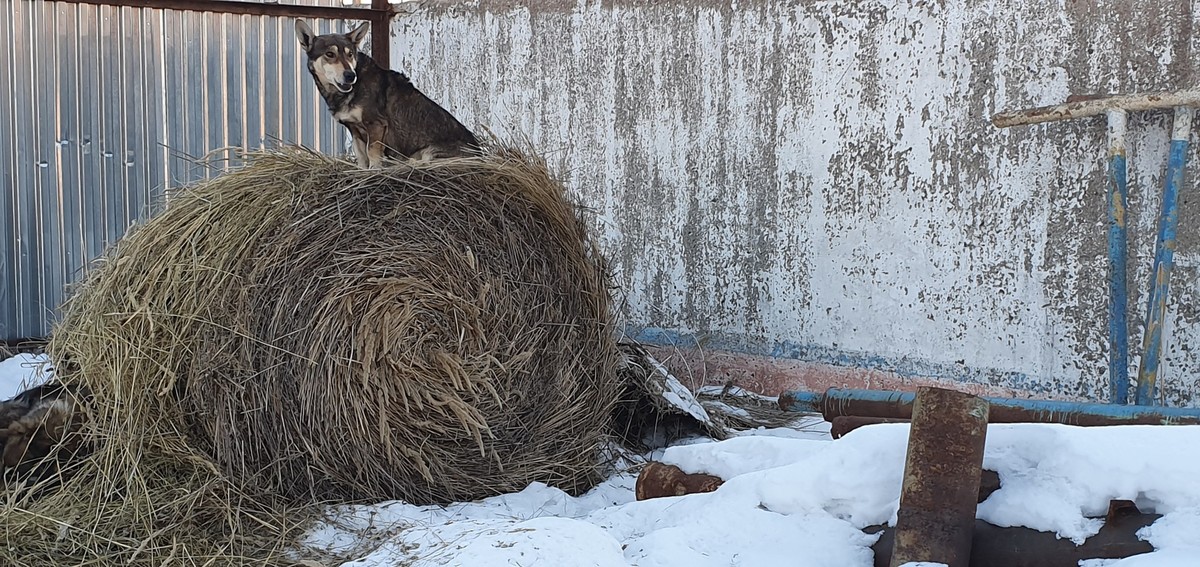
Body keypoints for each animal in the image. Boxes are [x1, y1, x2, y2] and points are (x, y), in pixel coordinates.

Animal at [294, 19, 477, 165]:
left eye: (350, 54)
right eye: (330, 54)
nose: (350, 75)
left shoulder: (376, 125)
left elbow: (372, 155)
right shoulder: (354, 130)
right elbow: (362, 158)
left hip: (428, 152)